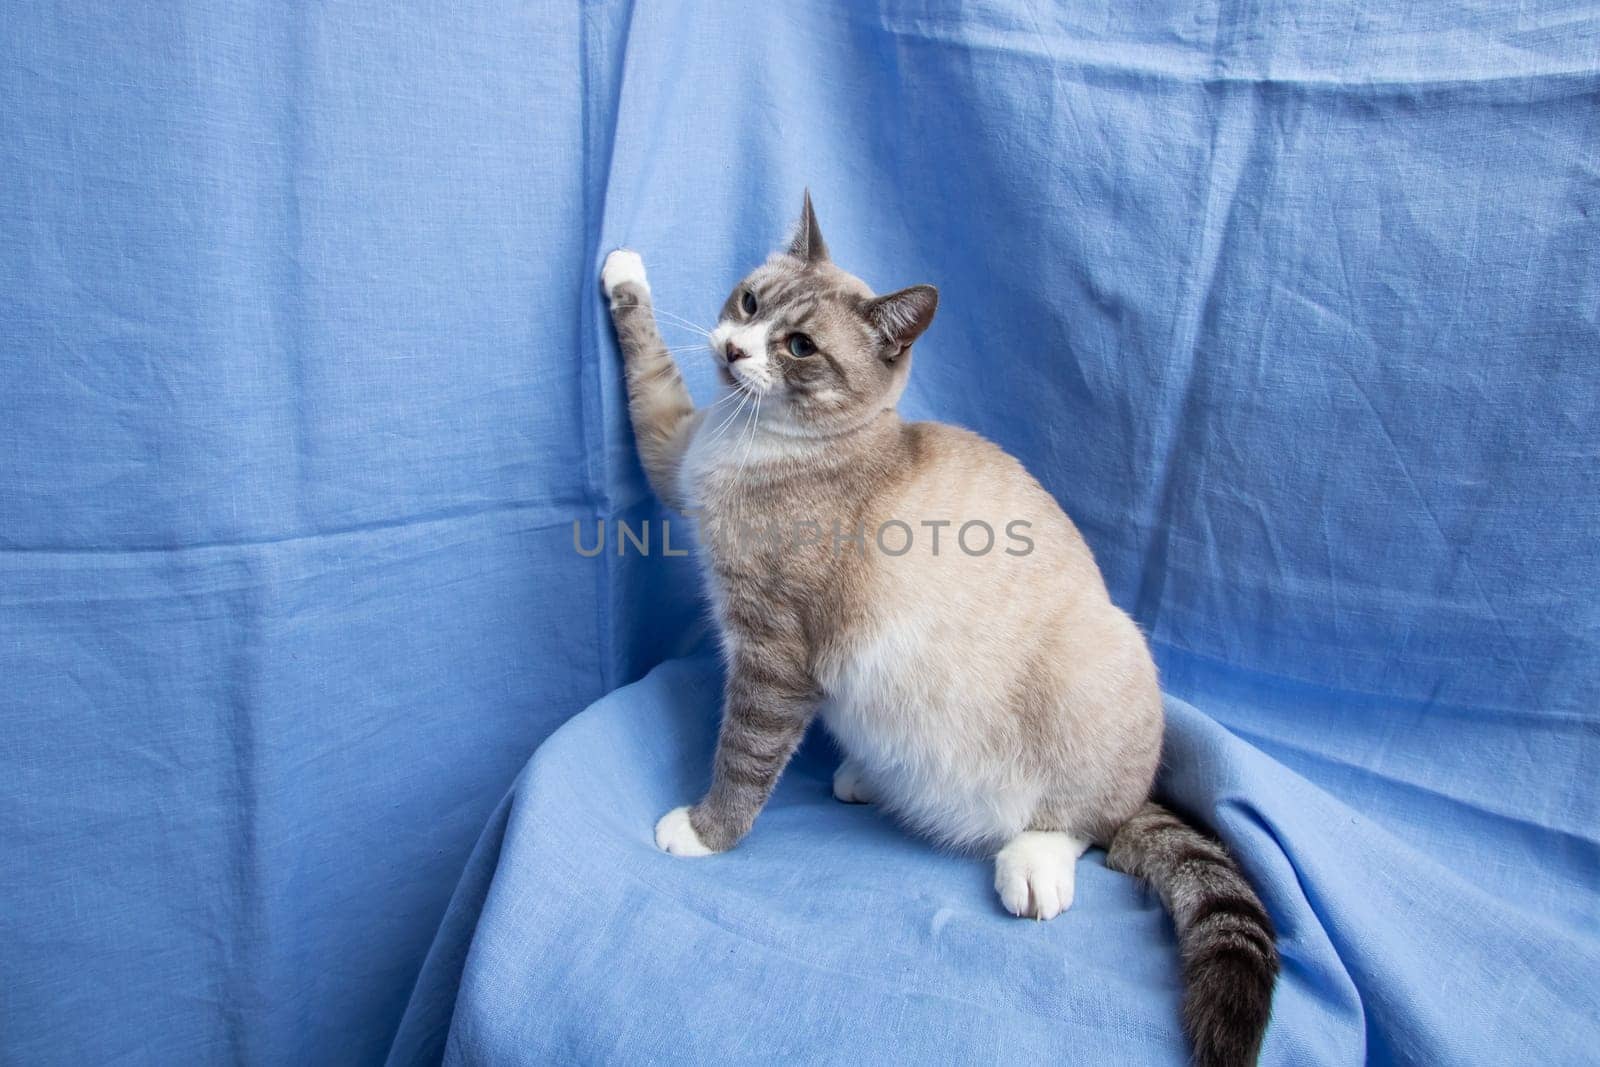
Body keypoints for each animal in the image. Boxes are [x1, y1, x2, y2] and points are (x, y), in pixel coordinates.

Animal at [604, 194, 1280, 1067]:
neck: (748, 438)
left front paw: (705, 831)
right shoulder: (673, 456)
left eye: (800, 347)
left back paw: (1033, 865)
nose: (730, 348)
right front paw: (622, 268)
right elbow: (650, 374)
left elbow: (744, 758)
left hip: (1098, 660)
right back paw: (865, 777)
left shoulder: (774, 660)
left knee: (1097, 823)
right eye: (750, 303)